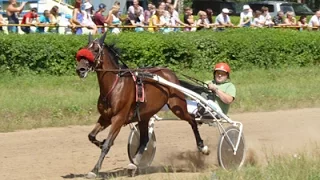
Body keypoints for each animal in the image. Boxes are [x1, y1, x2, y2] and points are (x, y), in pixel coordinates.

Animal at [76, 33, 209, 178]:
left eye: (95, 50)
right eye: (84, 49)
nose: (80, 69)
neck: (114, 86)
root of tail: (170, 73)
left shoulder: (118, 118)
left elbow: (107, 145)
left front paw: (95, 169)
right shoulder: (105, 117)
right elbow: (91, 136)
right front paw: (100, 143)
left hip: (177, 107)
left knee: (192, 120)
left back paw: (202, 147)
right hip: (145, 116)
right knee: (144, 140)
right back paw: (134, 164)